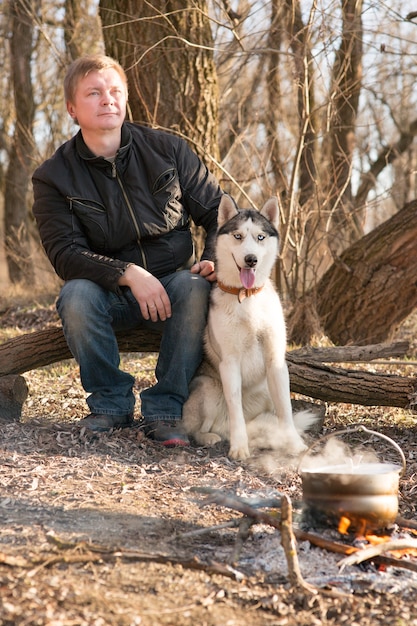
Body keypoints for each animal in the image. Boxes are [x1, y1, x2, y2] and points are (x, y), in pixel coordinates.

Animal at [180, 195, 314, 458]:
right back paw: (210, 437)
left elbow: (286, 409)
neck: (247, 295)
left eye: (260, 237)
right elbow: (236, 409)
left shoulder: (276, 362)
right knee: (198, 429)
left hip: (266, 393)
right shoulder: (229, 363)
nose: (251, 259)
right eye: (238, 236)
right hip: (208, 387)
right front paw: (239, 447)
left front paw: (293, 443)